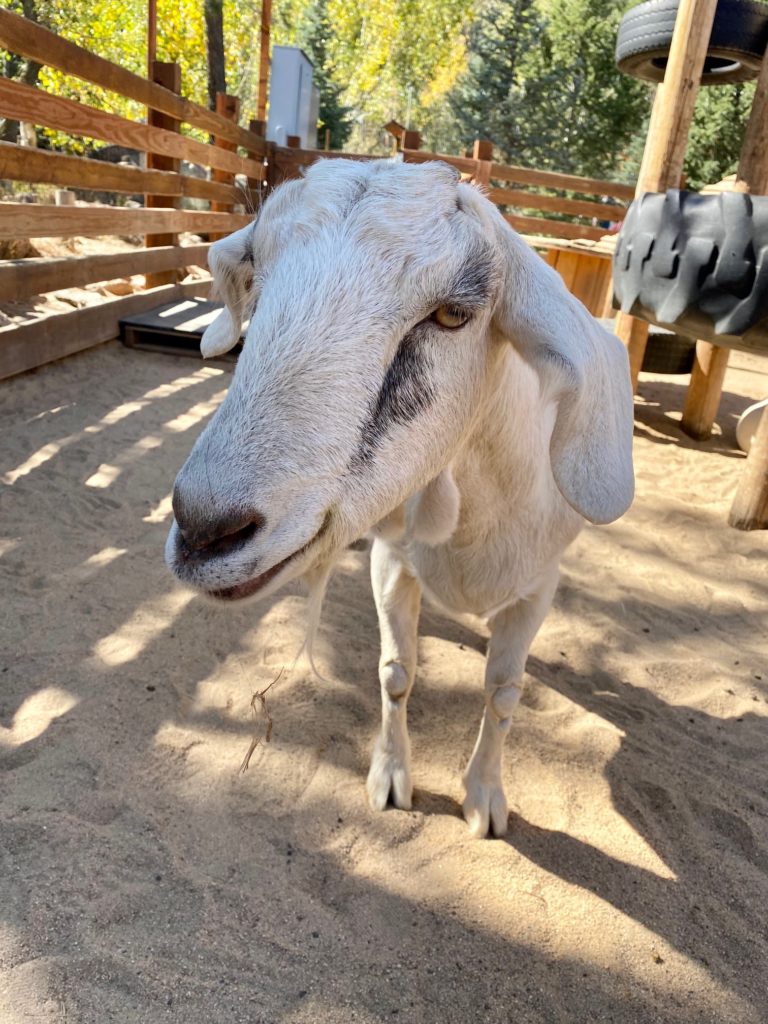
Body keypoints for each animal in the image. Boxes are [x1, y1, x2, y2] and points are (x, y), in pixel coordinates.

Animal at [165, 155, 634, 835]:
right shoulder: (393, 562)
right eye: (259, 279)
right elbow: (395, 672)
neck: (467, 530)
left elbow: (504, 691)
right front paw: (390, 778)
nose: (205, 529)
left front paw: (485, 799)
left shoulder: (537, 588)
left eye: (453, 314)